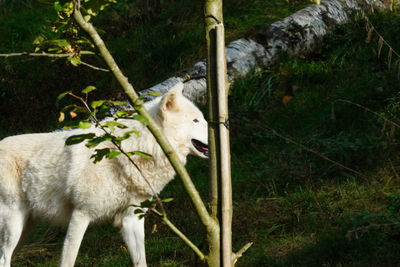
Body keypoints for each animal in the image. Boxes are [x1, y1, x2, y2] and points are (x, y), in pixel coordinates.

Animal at [0, 84, 211, 267]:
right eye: (196, 121)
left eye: (201, 118)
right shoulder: (81, 214)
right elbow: (69, 260)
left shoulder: (131, 220)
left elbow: (141, 262)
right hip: (14, 224)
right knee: (4, 259)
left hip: (25, 228)